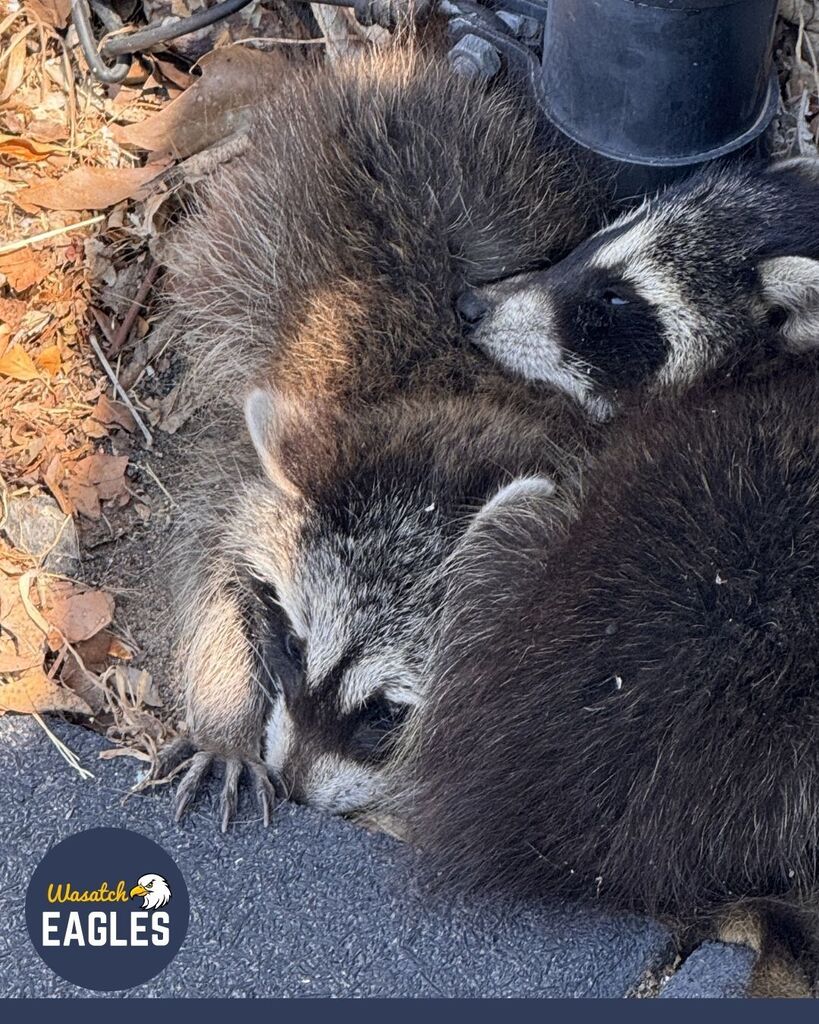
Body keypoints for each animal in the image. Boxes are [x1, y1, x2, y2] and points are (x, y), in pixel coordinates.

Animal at [158, 42, 609, 829]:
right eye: (291, 645)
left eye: (387, 712)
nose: (296, 789)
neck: (442, 405)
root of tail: (393, 66)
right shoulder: (263, 437)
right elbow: (209, 558)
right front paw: (226, 719)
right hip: (248, 239)